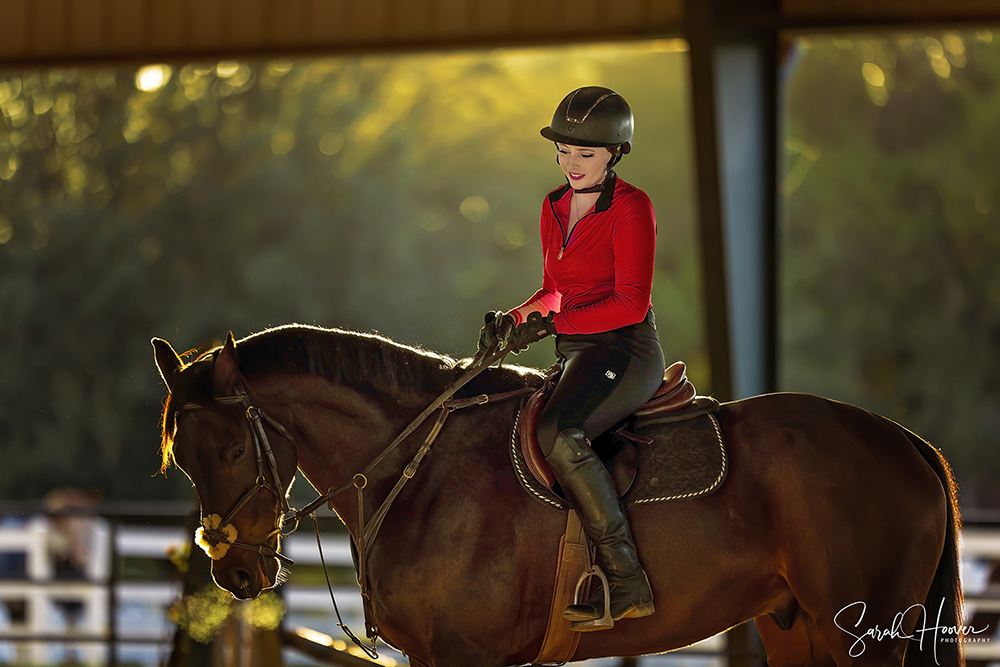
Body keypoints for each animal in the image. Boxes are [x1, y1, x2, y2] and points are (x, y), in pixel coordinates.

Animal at [152, 326, 964, 667]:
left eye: (231, 449)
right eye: (183, 460)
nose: (234, 569)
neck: (418, 466)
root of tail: (906, 443)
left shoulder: (467, 657)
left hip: (860, 639)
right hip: (796, 629)